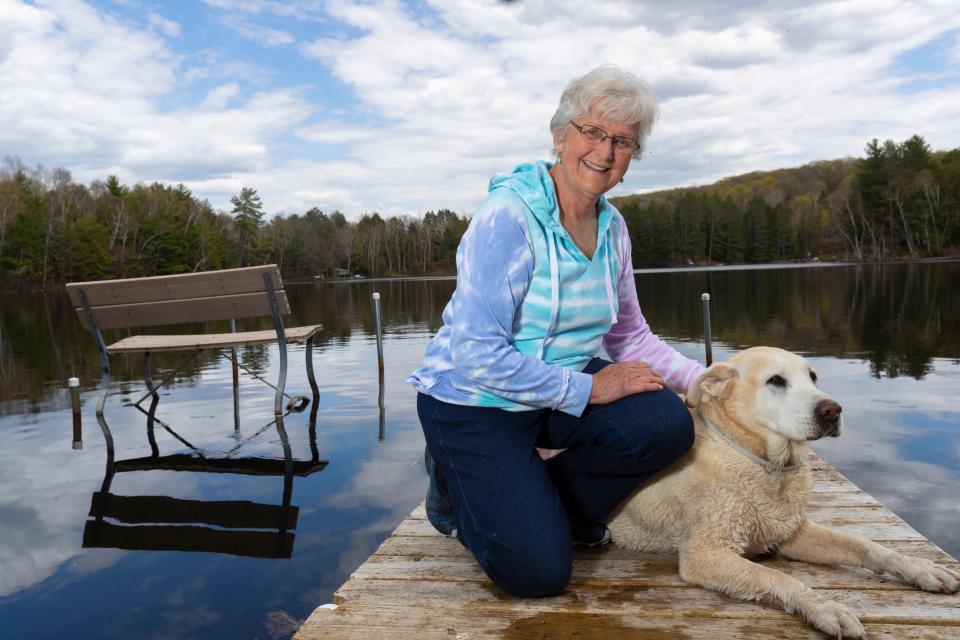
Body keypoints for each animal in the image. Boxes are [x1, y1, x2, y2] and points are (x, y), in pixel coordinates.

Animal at [608, 348, 960, 636]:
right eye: (776, 380)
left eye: (813, 376)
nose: (832, 410)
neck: (768, 467)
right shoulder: (706, 554)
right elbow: (777, 578)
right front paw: (825, 607)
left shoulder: (791, 531)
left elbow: (866, 546)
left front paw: (921, 568)